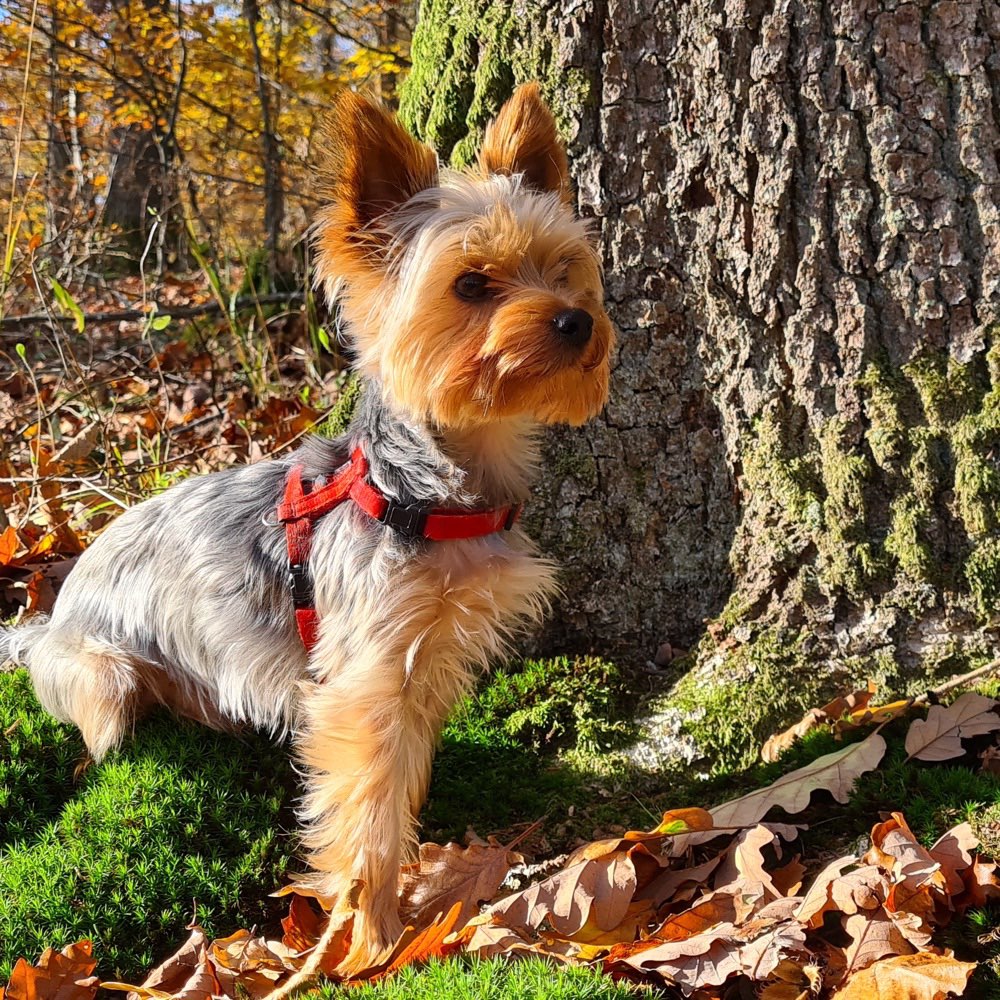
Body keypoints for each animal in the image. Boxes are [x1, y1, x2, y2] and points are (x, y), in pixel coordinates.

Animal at [1, 82, 616, 972]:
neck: (429, 487)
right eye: (471, 285)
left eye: (565, 269)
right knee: (102, 726)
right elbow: (364, 813)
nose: (577, 321)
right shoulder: (365, 682)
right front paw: (373, 934)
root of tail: (46, 619)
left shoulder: (425, 664)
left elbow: (400, 787)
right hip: (98, 671)